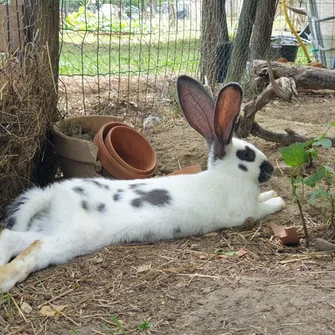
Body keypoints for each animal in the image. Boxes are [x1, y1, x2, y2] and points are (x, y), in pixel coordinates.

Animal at [0, 75, 286, 292]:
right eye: (247, 154)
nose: (270, 169)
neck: (225, 175)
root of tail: (52, 195)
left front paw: (271, 192)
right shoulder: (247, 212)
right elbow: (265, 208)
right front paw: (279, 200)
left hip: (48, 228)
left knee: (11, 237)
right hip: (69, 238)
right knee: (34, 249)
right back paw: (5, 280)